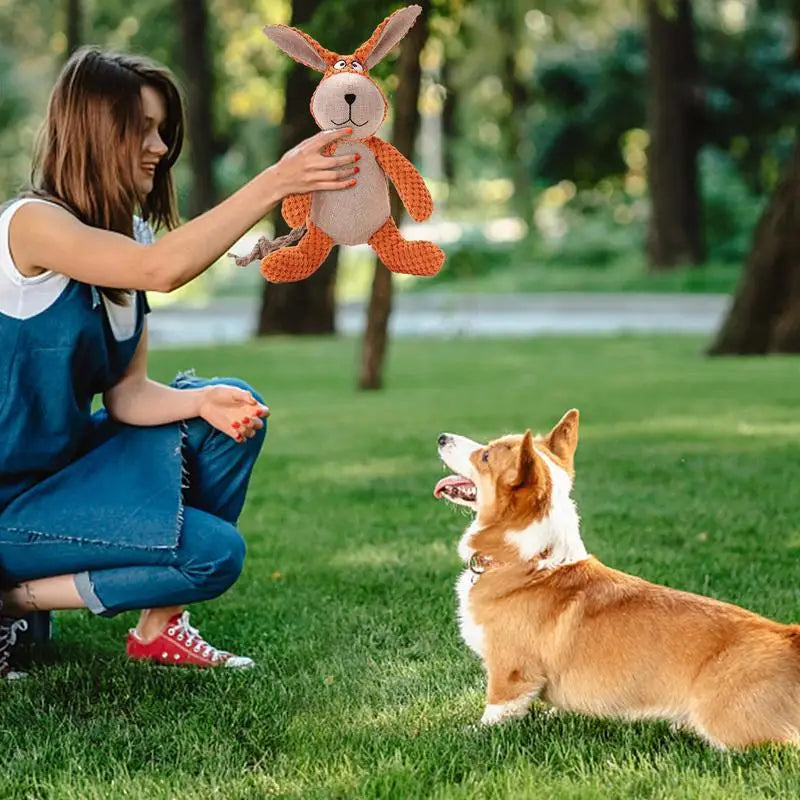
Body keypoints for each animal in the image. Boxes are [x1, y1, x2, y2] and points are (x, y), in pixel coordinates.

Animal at [434, 412, 800, 752]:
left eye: (485, 456)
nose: (441, 437)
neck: (529, 563)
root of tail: (790, 639)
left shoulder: (510, 672)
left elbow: (496, 710)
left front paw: (470, 732)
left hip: (724, 722)